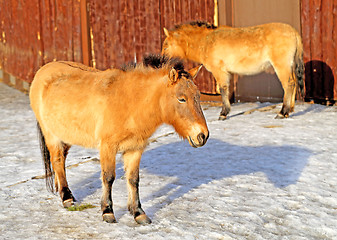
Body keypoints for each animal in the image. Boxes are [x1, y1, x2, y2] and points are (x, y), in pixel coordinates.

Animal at [29, 54, 207, 225]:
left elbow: (133, 180)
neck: (130, 103)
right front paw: (107, 212)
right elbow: (108, 178)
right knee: (58, 160)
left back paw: (63, 191)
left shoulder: (135, 149)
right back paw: (66, 197)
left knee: (60, 161)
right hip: (52, 136)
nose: (202, 135)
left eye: (198, 96)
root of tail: (43, 70)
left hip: (65, 136)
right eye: (181, 98)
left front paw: (138, 213)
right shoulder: (108, 147)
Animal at [161, 21, 304, 119]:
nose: (162, 59)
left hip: (281, 66)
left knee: (289, 84)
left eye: (166, 45)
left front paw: (223, 113)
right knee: (294, 83)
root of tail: (293, 31)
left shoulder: (219, 71)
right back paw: (290, 109)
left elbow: (223, 90)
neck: (206, 41)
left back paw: (283, 112)